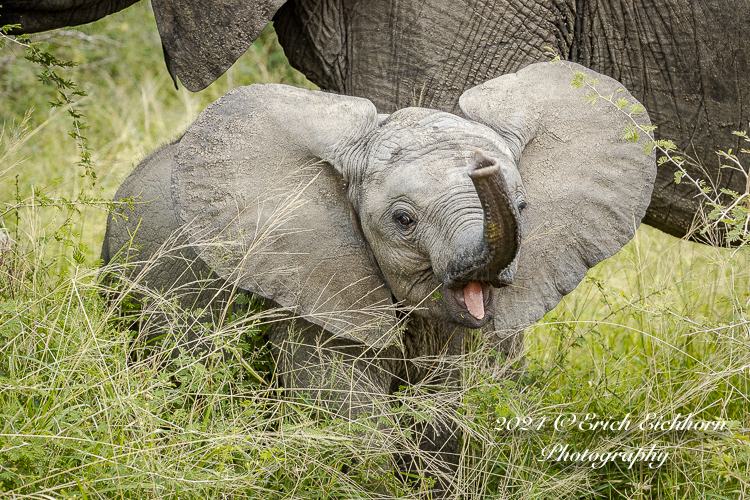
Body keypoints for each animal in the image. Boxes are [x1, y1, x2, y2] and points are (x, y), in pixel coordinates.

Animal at [101, 61, 656, 492]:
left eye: (522, 208)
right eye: (403, 220)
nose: (483, 168)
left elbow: (451, 412)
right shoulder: (314, 283)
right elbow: (352, 418)